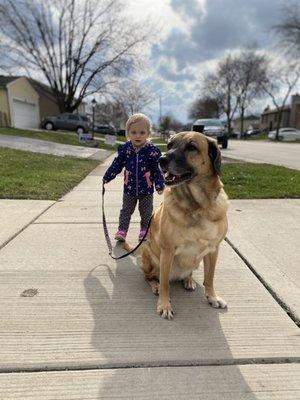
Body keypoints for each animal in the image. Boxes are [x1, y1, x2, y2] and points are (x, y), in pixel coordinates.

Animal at [139, 131, 229, 318]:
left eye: (191, 147)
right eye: (170, 144)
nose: (161, 159)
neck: (197, 207)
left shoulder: (213, 249)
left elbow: (210, 277)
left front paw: (212, 297)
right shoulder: (167, 251)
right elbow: (165, 283)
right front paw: (164, 305)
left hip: (196, 262)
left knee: (188, 272)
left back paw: (188, 280)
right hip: (149, 256)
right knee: (150, 277)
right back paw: (155, 286)